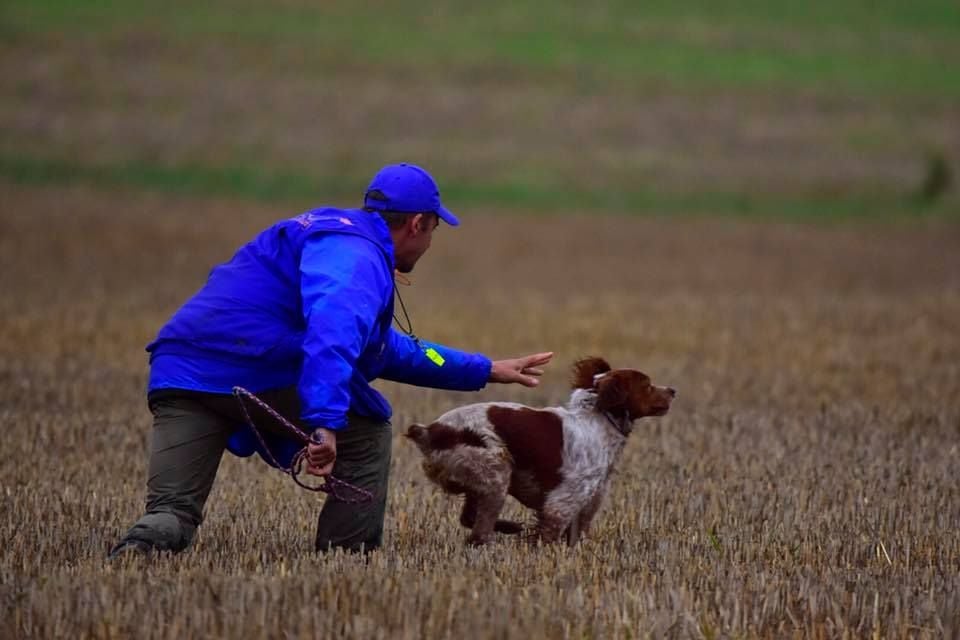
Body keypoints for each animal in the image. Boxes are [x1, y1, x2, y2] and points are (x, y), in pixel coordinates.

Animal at [404, 356, 676, 544]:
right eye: (647, 385)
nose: (673, 390)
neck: (599, 420)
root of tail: (430, 431)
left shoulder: (588, 501)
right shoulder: (562, 501)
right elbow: (549, 535)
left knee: (469, 518)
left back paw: (511, 528)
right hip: (495, 470)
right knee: (477, 534)